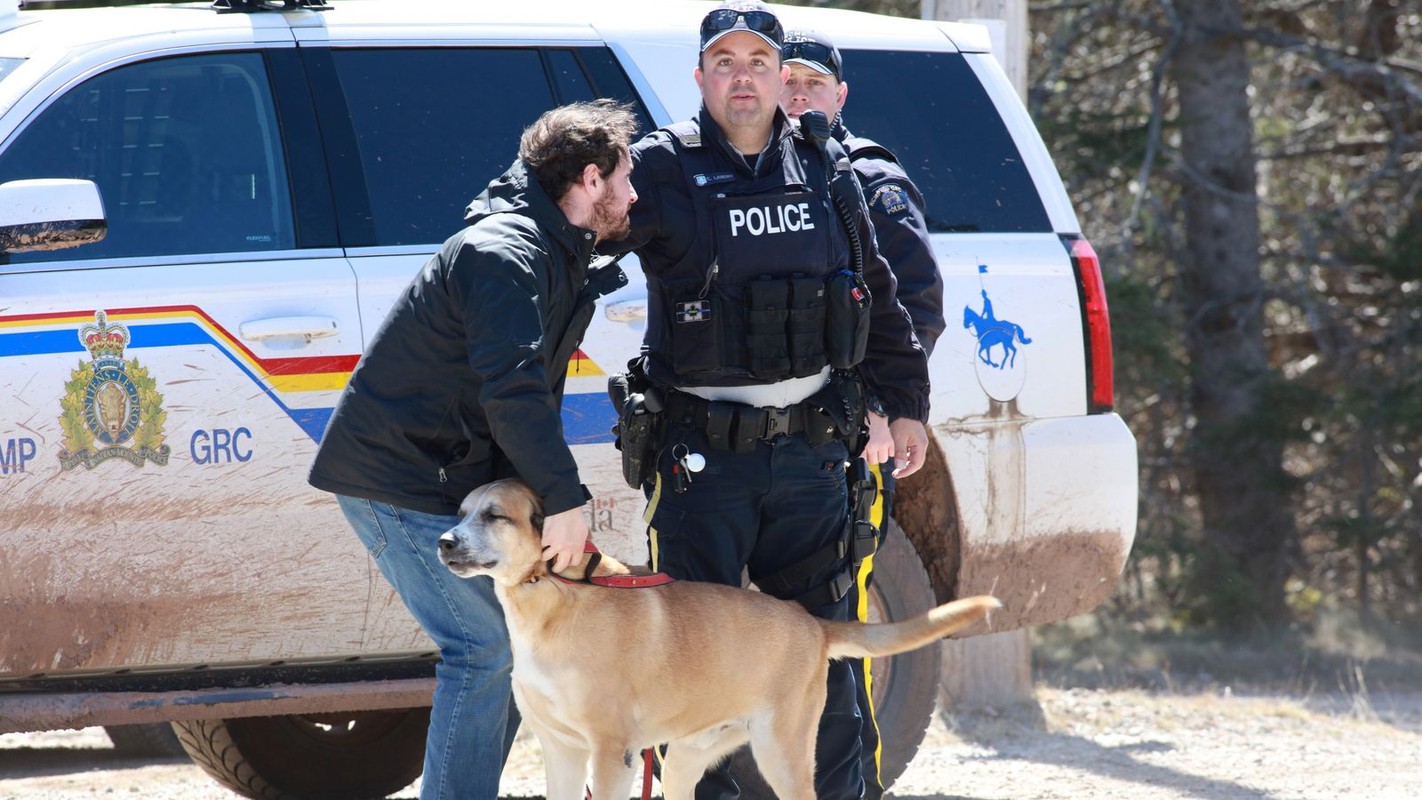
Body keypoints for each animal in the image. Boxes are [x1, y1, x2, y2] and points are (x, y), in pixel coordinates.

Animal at [435, 480, 1001, 800]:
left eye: (494, 515)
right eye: (460, 513)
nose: (442, 542)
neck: (553, 591)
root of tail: (810, 623)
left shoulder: (611, 753)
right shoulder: (563, 752)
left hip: (782, 755)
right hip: (686, 761)